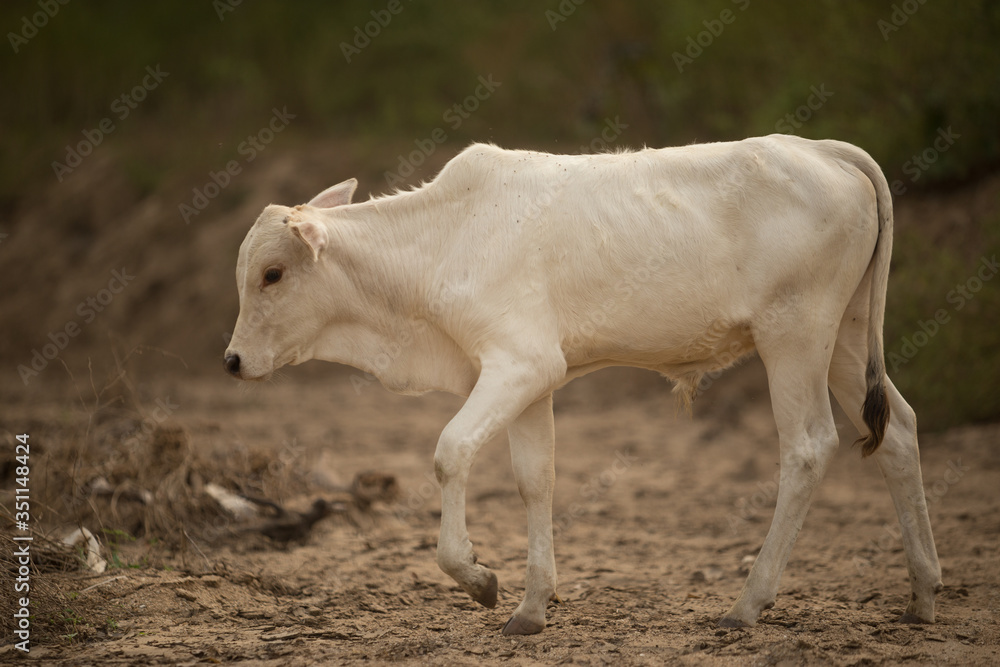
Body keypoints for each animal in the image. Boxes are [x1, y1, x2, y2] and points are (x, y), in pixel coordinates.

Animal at [224, 135, 942, 635]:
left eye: (272, 273)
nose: (231, 361)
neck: (438, 244)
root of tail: (824, 148)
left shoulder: (519, 363)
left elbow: (451, 451)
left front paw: (478, 579)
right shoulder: (532, 380)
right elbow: (534, 479)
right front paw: (531, 605)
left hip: (794, 335)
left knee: (809, 446)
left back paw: (747, 603)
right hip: (845, 337)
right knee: (899, 429)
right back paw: (923, 592)